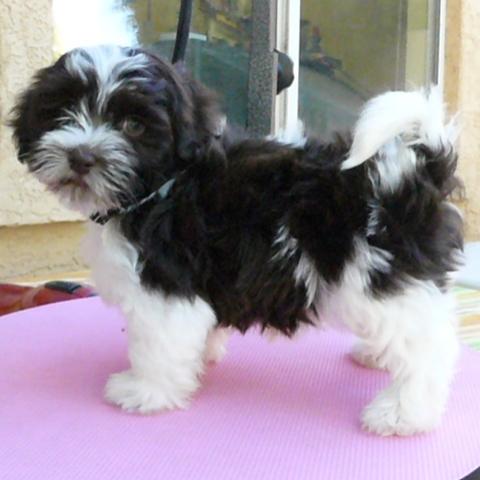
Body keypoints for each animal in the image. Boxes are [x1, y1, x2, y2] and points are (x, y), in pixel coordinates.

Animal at [9, 45, 464, 436]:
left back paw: (404, 414)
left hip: (374, 277)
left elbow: (157, 343)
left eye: (133, 125)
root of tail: (413, 172)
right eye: (63, 111)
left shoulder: (166, 284)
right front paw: (200, 359)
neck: (163, 183)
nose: (81, 157)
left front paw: (145, 391)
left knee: (430, 349)